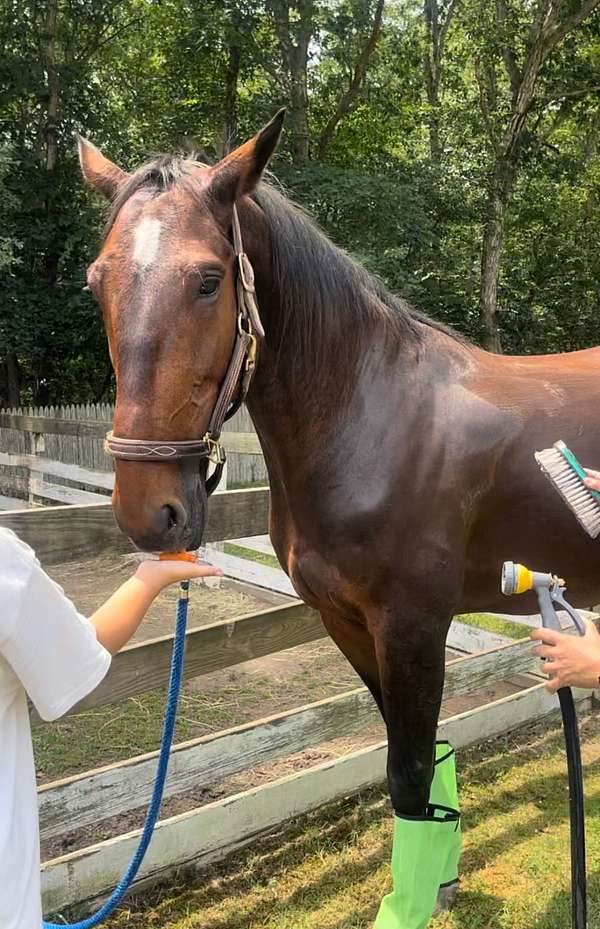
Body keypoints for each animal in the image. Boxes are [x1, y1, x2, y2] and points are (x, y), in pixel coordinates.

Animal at [77, 109, 600, 908]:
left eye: (208, 281)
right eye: (97, 282)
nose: (148, 511)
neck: (368, 419)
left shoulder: (414, 626)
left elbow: (409, 782)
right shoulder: (348, 623)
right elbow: (421, 765)